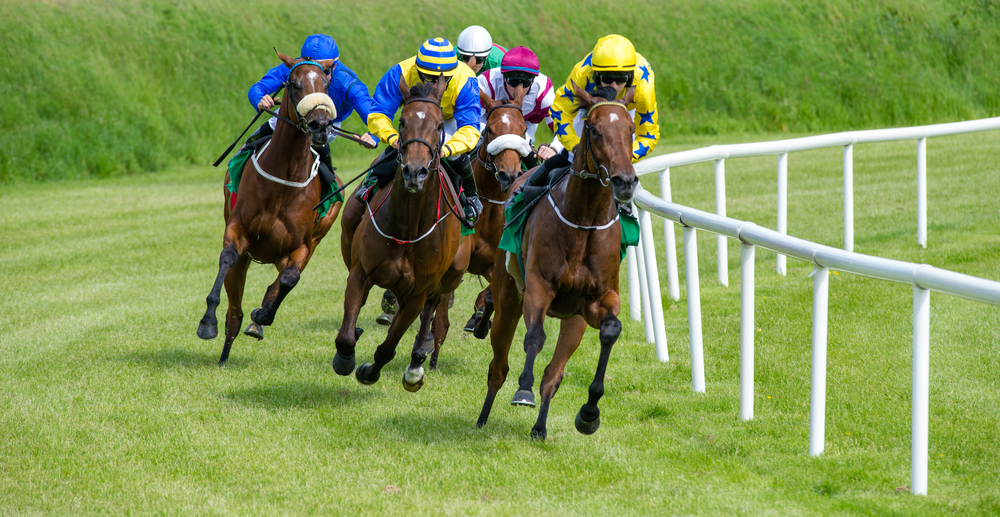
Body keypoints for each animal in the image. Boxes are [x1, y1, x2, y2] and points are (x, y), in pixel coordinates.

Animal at [195, 49, 344, 362]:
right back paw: (225, 352)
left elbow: (289, 279)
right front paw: (207, 322)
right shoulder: (238, 231)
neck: (285, 177)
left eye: (326, 85)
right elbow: (227, 258)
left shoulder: (301, 246)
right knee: (234, 312)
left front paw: (263, 315)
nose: (320, 125)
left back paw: (257, 319)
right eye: (294, 84)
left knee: (279, 282)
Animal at [330, 78, 466, 390]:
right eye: (402, 122)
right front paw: (345, 357)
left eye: (438, 125)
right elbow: (346, 335)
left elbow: (388, 347)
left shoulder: (417, 292)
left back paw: (417, 362)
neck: (408, 225)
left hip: (451, 274)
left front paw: (371, 370)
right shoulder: (361, 272)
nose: (415, 172)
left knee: (431, 307)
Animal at [422, 87, 532, 366]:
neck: (490, 206)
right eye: (490, 130)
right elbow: (439, 314)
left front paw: (481, 323)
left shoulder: (495, 265)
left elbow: (490, 296)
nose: (509, 175)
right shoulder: (453, 263)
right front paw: (432, 351)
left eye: (523, 129)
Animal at [472, 83, 636, 440]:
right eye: (594, 129)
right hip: (508, 299)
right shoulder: (538, 286)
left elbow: (611, 329)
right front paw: (523, 390)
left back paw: (540, 428)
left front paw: (589, 412)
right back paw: (483, 416)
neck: (583, 221)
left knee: (554, 373)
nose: (625, 180)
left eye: (631, 129)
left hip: (572, 321)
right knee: (498, 366)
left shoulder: (596, 301)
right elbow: (535, 336)